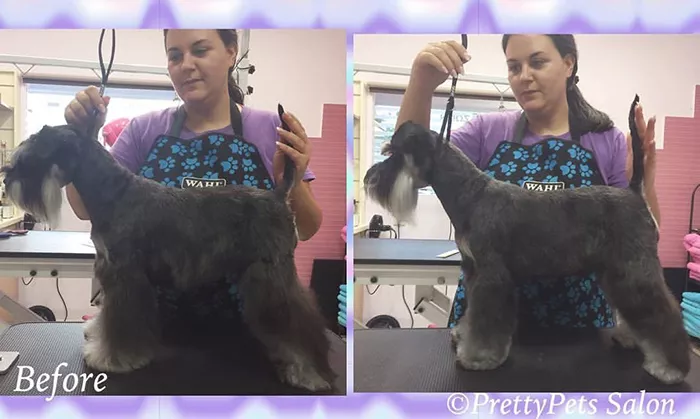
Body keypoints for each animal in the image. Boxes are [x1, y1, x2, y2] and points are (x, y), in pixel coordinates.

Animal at [0, 105, 336, 393]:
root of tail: (278, 197)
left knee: (300, 325)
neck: (114, 192)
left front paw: (112, 358)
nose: (8, 175)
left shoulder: (125, 276)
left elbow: (120, 324)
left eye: (31, 155)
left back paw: (310, 372)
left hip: (270, 277)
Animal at [363, 95, 690, 385]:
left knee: (662, 312)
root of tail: (634, 193)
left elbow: (486, 322)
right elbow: (472, 315)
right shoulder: (474, 272)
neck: (471, 193)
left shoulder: (491, 277)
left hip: (634, 269)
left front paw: (478, 357)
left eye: (393, 153)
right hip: (616, 272)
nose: (370, 178)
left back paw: (670, 367)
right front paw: (464, 337)